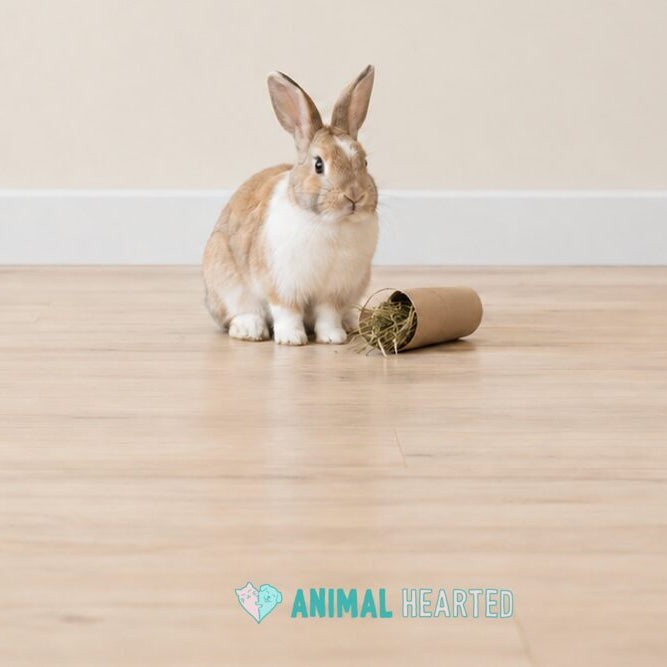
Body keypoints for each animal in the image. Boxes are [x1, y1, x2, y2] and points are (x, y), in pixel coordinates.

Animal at [203, 65, 378, 345]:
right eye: (318, 164)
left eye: (364, 162)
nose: (354, 196)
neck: (332, 222)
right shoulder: (283, 285)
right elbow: (287, 312)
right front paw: (291, 339)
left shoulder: (334, 292)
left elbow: (328, 314)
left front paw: (333, 338)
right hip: (225, 281)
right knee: (238, 313)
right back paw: (250, 329)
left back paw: (350, 323)